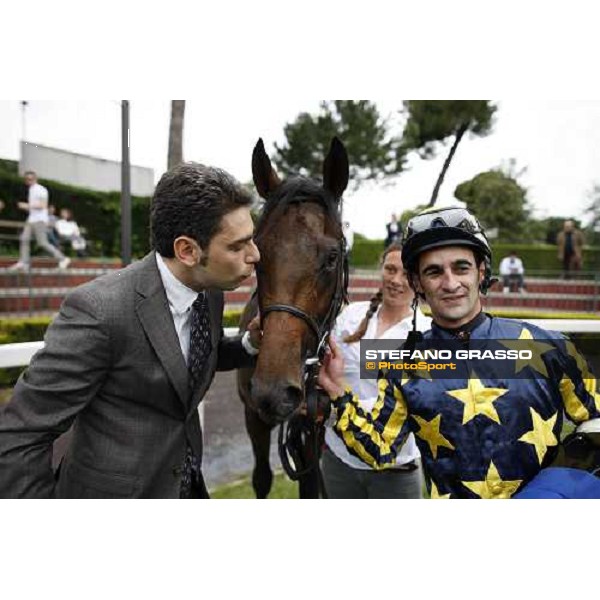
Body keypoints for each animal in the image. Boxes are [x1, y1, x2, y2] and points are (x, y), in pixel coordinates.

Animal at [237, 138, 350, 500]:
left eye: (332, 258)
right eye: (256, 253)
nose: (274, 391)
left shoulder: (313, 423)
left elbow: (311, 482)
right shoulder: (253, 415)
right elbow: (262, 478)